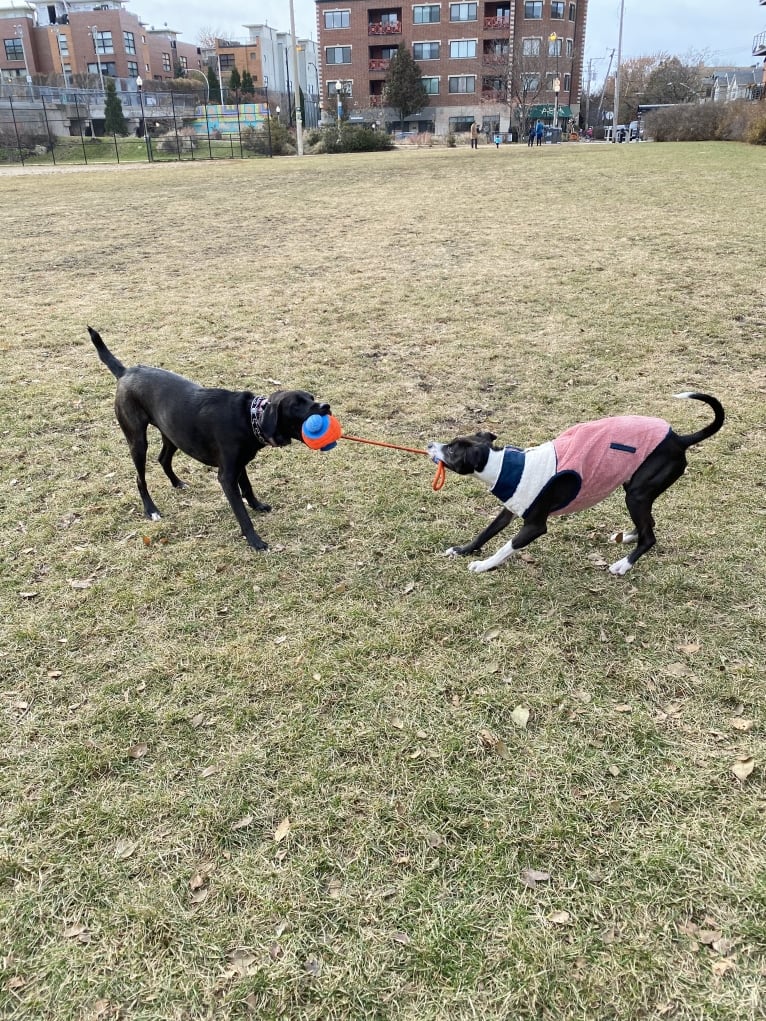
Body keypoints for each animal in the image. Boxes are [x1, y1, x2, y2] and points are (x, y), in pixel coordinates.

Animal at [89, 326, 330, 551]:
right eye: (297, 405)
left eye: (311, 397)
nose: (326, 406)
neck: (250, 417)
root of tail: (125, 371)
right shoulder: (226, 476)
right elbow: (241, 514)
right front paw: (254, 541)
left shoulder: (239, 465)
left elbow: (248, 487)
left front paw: (257, 505)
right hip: (138, 441)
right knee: (140, 478)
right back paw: (152, 510)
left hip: (173, 435)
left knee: (163, 459)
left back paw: (177, 483)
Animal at [433, 392, 727, 575]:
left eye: (451, 450)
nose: (431, 444)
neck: (502, 466)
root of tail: (679, 439)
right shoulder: (510, 508)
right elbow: (486, 532)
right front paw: (462, 551)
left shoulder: (535, 526)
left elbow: (507, 546)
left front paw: (483, 565)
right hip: (636, 490)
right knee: (648, 524)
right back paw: (628, 537)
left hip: (637, 494)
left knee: (650, 536)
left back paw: (623, 565)